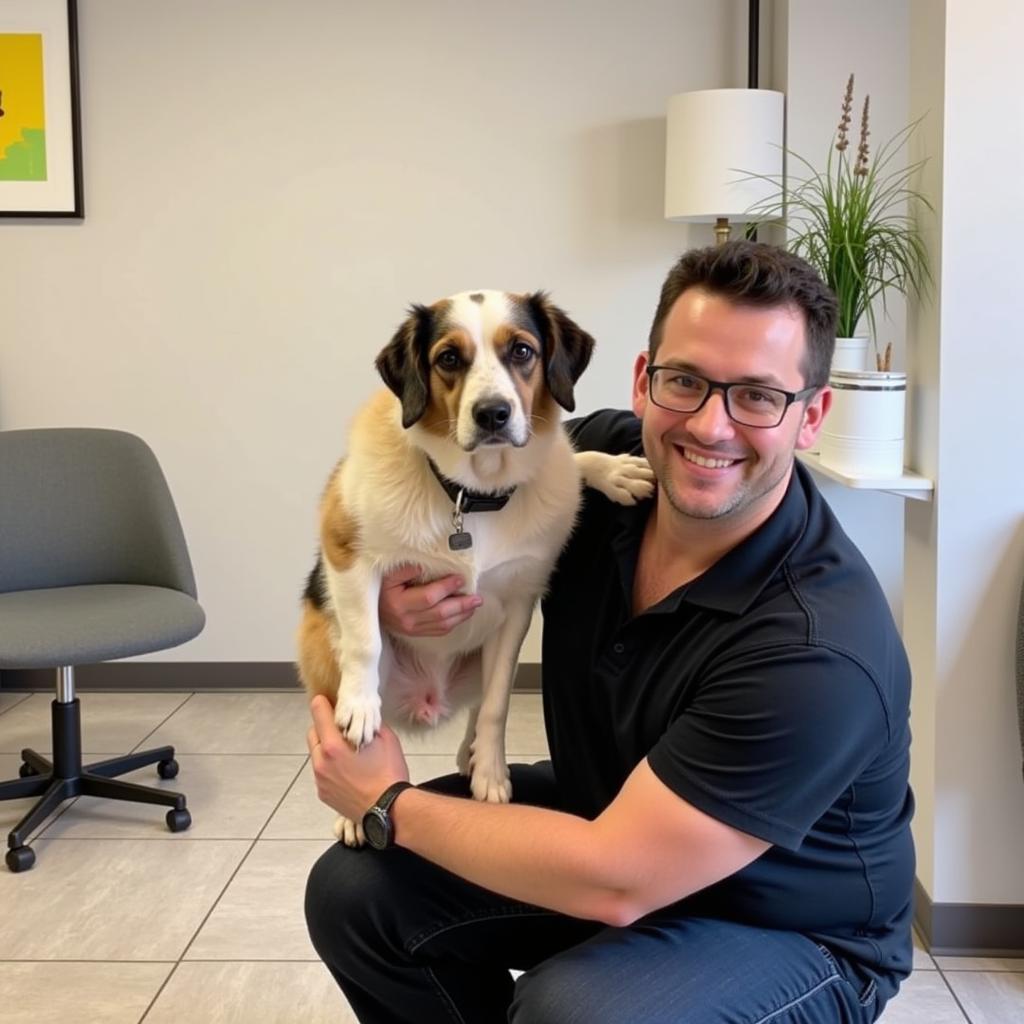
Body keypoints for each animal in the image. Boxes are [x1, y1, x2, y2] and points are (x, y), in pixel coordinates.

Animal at [296, 286, 651, 839]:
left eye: (522, 350)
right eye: (448, 358)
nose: (493, 414)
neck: (472, 495)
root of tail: (425, 701)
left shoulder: (519, 603)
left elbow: (497, 703)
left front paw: (490, 771)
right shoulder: (346, 550)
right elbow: (364, 641)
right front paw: (359, 707)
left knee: (480, 700)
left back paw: (471, 752)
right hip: (322, 644)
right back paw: (352, 809)